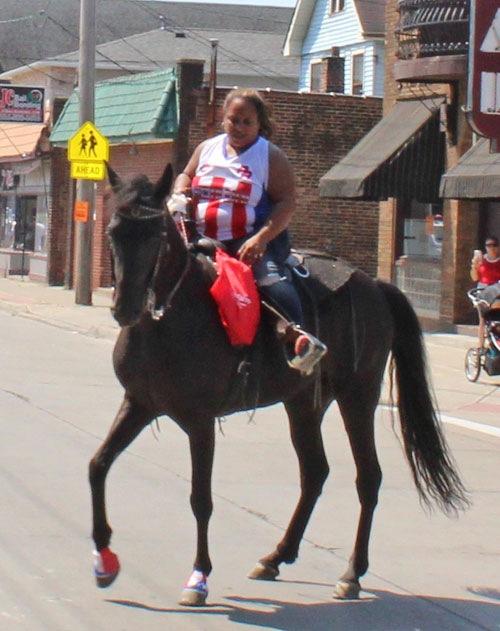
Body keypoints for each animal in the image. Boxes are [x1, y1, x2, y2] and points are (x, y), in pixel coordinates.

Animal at [90, 163, 468, 608]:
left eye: (157, 236)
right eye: (113, 230)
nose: (125, 308)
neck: (172, 318)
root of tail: (374, 285)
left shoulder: (200, 420)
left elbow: (201, 498)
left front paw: (199, 577)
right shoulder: (139, 403)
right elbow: (98, 466)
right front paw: (104, 560)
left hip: (358, 396)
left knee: (368, 477)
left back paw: (351, 574)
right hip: (303, 402)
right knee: (315, 472)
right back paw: (276, 556)